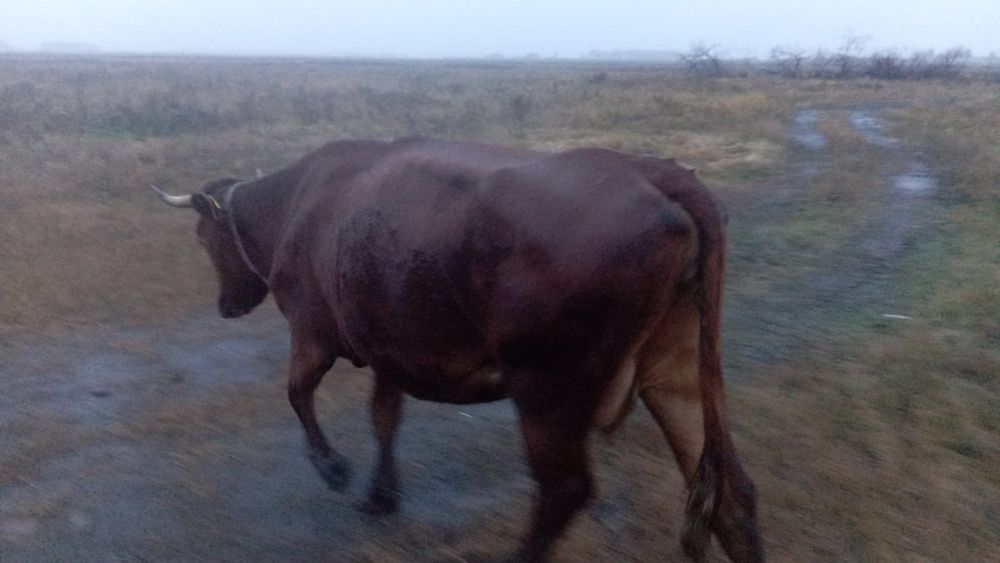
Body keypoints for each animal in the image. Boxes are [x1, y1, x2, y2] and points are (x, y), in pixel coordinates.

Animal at [152, 137, 762, 562]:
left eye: (204, 238)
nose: (225, 306)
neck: (297, 204)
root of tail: (653, 172)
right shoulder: (390, 348)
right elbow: (384, 417)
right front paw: (381, 494)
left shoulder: (313, 333)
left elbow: (298, 393)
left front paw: (335, 470)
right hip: (677, 376)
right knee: (733, 496)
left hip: (547, 390)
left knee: (563, 491)